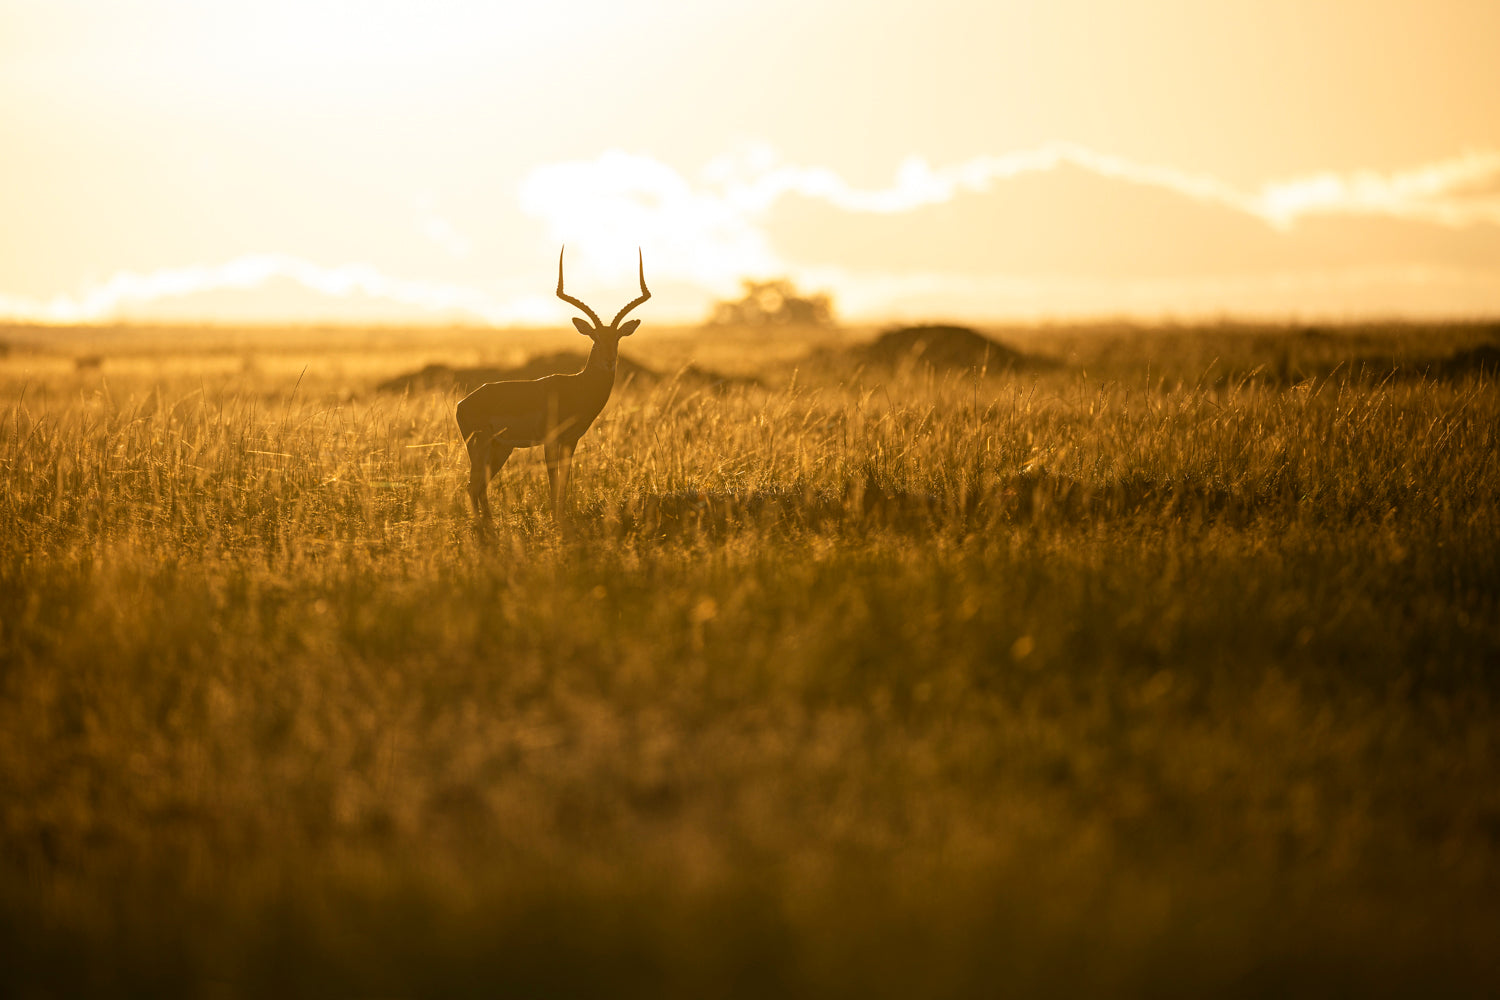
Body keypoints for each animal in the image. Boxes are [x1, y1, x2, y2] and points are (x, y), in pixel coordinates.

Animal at [456, 246, 650, 528]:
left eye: (617, 339)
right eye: (594, 338)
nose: (608, 361)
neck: (578, 387)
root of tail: (462, 403)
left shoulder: (571, 440)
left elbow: (564, 480)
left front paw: (562, 517)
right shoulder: (550, 440)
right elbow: (553, 480)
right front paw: (556, 521)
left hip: (501, 448)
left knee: (479, 486)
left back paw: (490, 527)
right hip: (480, 448)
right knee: (472, 486)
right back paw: (484, 528)